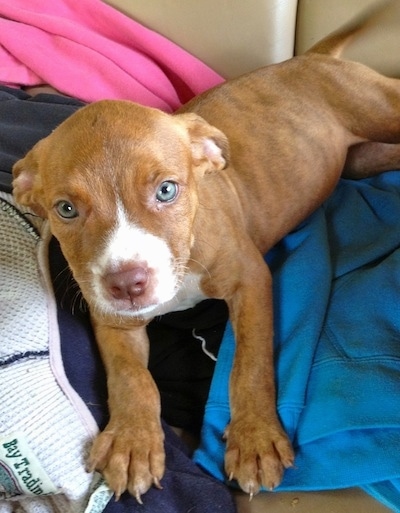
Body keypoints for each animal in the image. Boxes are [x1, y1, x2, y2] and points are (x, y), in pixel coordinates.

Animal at [10, 2, 400, 502]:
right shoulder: (113, 318)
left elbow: (250, 362)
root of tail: (312, 58)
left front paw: (254, 439)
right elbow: (132, 378)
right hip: (364, 158)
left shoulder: (250, 279)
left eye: (167, 189)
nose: (128, 284)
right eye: (66, 209)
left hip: (378, 110)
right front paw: (133, 442)